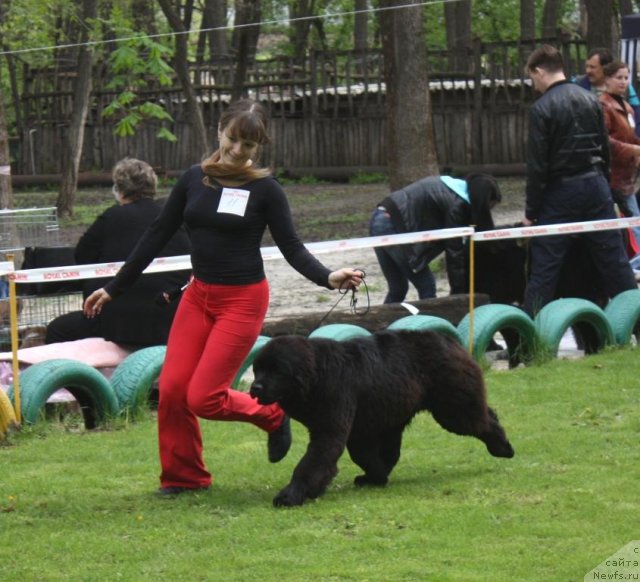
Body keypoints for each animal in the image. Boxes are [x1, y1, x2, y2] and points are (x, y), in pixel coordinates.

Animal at [250, 330, 516, 508]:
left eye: (276, 371)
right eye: (257, 369)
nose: (254, 387)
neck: (317, 376)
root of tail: (449, 339)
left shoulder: (331, 428)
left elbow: (310, 463)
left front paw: (290, 495)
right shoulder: (357, 429)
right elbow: (362, 456)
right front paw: (375, 477)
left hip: (452, 410)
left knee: (484, 420)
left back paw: (503, 447)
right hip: (395, 415)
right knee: (393, 451)